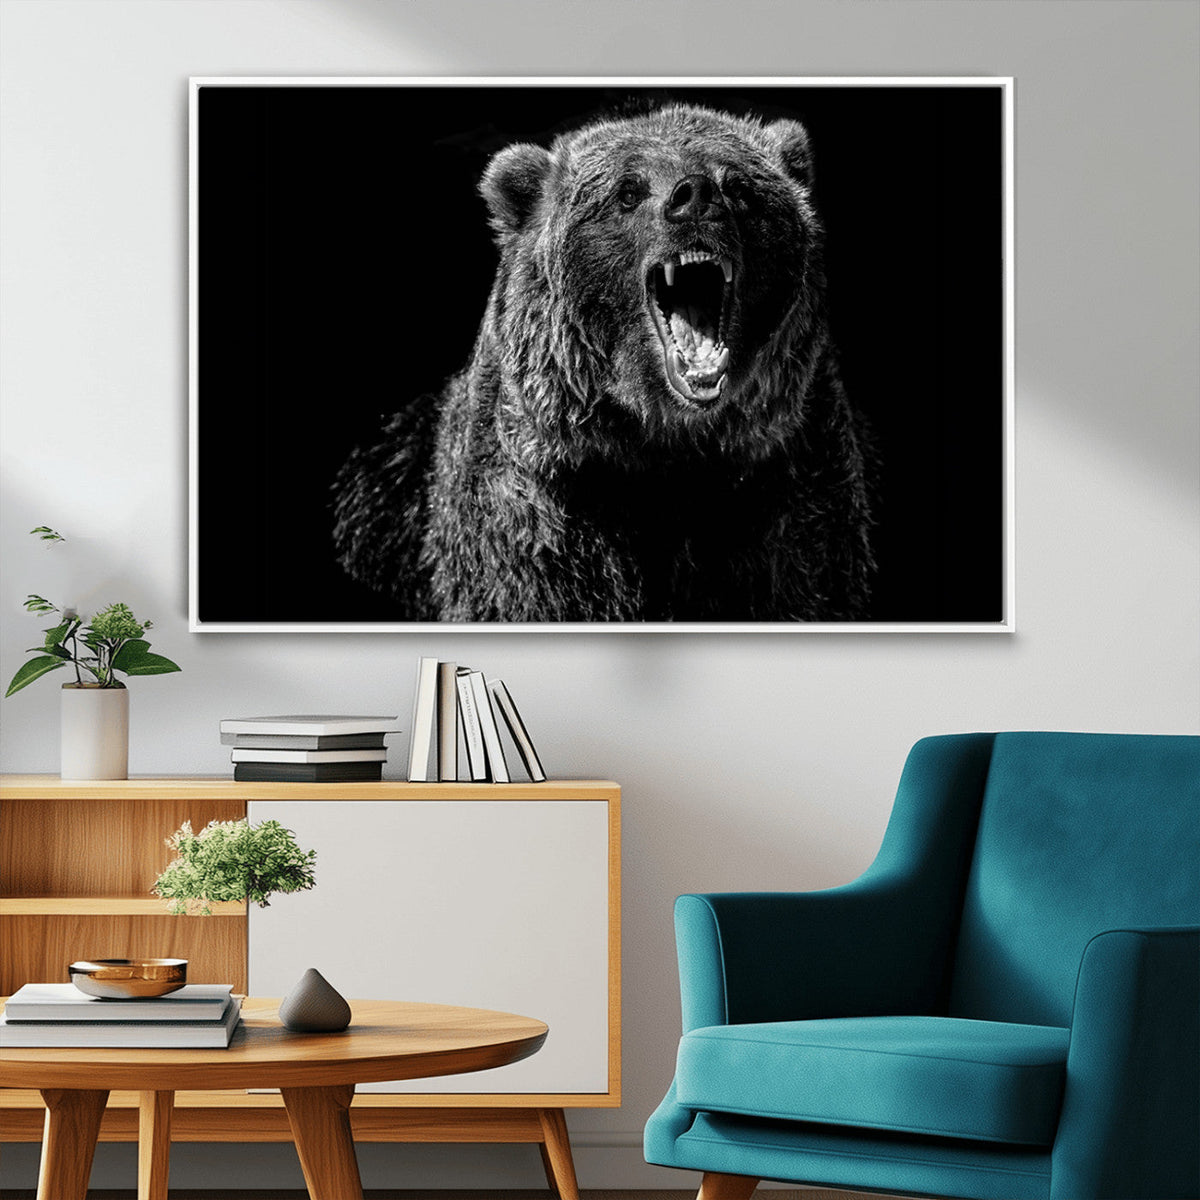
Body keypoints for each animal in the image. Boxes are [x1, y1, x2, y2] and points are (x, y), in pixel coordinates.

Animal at [332, 102, 875, 623]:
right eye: (628, 191)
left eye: (738, 186)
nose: (695, 196)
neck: (664, 444)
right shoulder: (544, 511)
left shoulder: (785, 491)